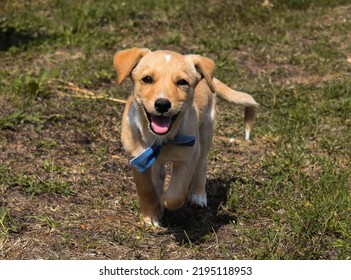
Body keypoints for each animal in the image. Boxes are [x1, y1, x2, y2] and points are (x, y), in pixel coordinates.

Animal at [115, 47, 258, 225]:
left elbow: (176, 194)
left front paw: (163, 201)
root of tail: (208, 79)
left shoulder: (189, 157)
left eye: (182, 82)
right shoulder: (137, 158)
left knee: (202, 164)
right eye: (147, 79)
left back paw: (198, 195)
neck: (160, 140)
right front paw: (151, 215)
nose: (162, 104)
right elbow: (146, 188)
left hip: (205, 132)